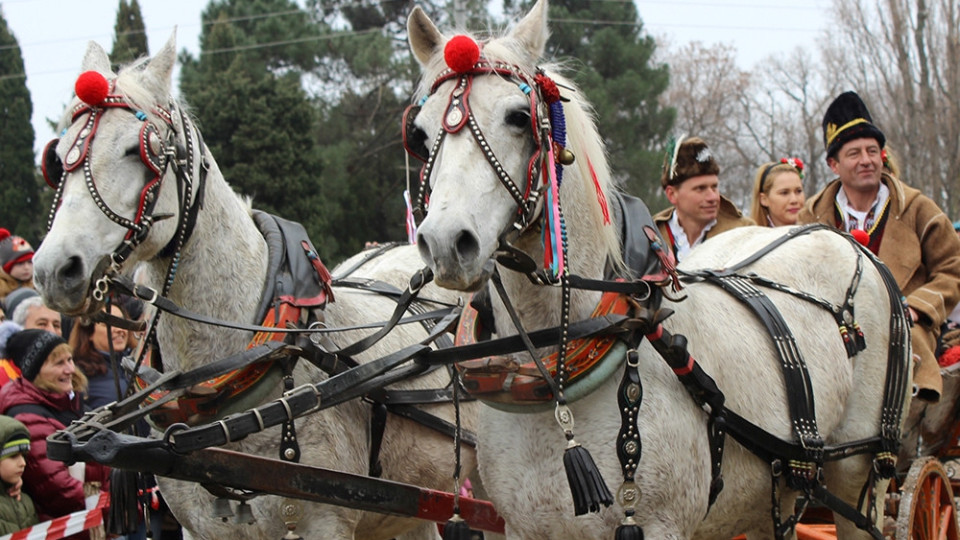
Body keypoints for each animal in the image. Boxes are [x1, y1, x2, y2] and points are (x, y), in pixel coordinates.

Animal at [404, 2, 908, 536]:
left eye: (519, 117)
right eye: (419, 134)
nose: (446, 242)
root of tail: (841, 236)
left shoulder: (658, 524)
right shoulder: (524, 527)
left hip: (856, 473)